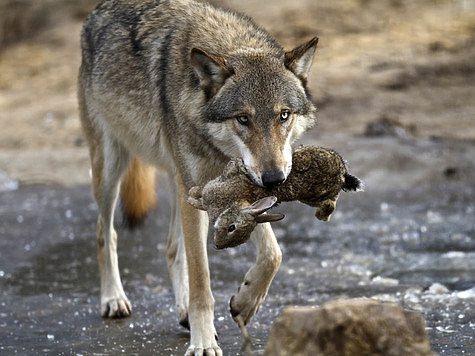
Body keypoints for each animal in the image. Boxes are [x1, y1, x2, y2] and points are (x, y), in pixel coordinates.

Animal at [79, 0, 320, 354]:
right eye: (243, 119)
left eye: (284, 115)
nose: (274, 179)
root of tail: (97, 10)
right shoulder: (202, 188)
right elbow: (201, 280)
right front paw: (203, 342)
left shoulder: (238, 189)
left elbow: (273, 254)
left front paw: (246, 302)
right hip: (112, 168)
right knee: (104, 231)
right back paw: (113, 299)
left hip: (178, 182)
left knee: (170, 248)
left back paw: (182, 314)